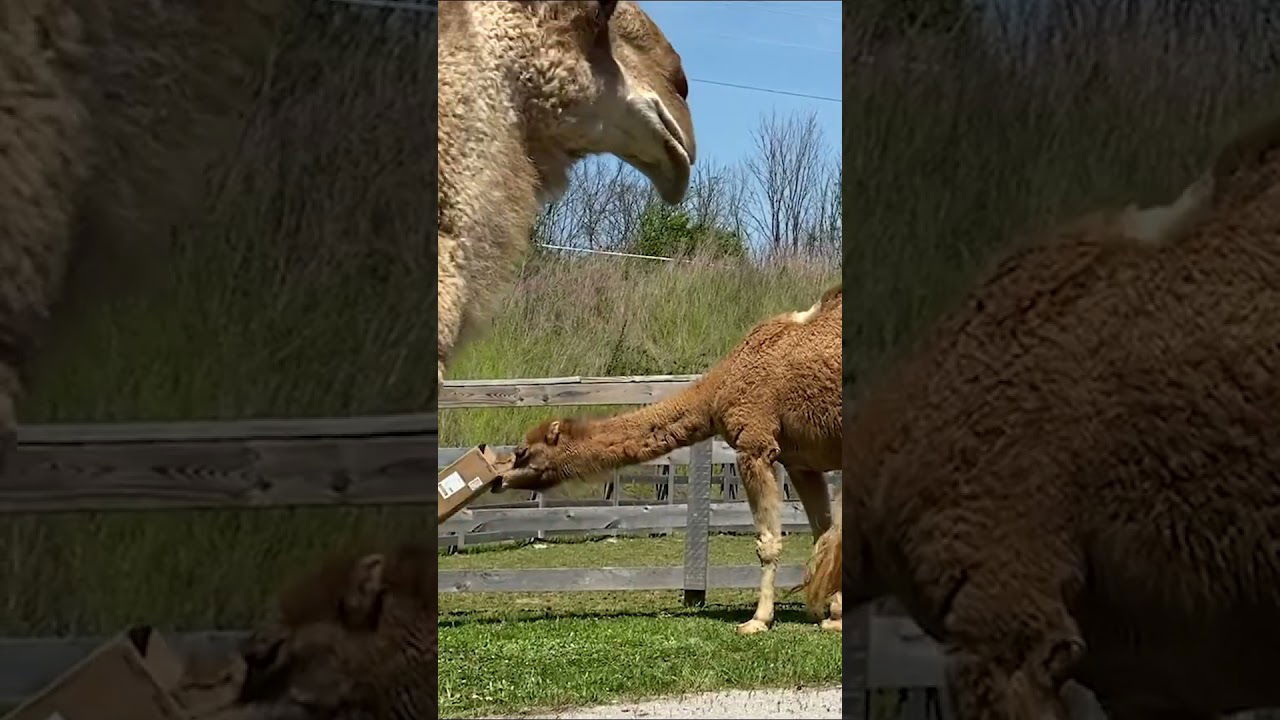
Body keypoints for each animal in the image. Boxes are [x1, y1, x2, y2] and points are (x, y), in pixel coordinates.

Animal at [497, 285, 843, 634]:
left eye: (521, 452)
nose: (499, 478)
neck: (718, 388)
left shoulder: (755, 444)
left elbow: (770, 542)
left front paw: (758, 620)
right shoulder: (800, 462)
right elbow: (825, 534)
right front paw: (832, 614)